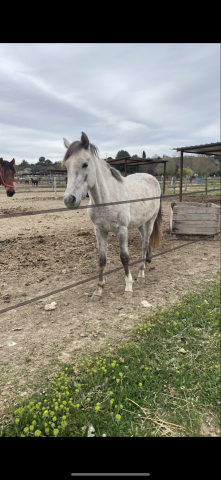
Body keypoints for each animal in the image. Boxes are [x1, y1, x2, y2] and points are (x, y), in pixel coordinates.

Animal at [62, 133, 162, 302]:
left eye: (85, 164)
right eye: (67, 166)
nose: (69, 199)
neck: (106, 200)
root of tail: (152, 178)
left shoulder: (121, 230)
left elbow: (124, 257)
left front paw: (128, 288)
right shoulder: (100, 230)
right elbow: (102, 259)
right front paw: (98, 290)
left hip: (150, 220)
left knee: (144, 245)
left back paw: (141, 274)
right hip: (140, 223)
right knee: (146, 241)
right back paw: (147, 265)